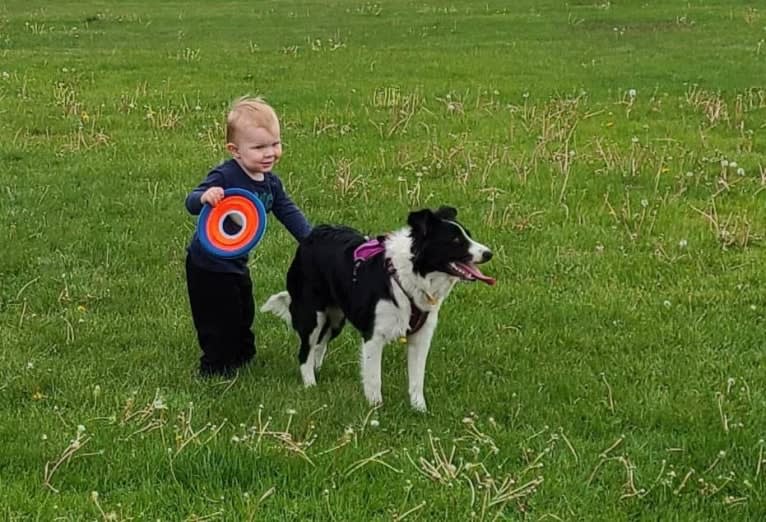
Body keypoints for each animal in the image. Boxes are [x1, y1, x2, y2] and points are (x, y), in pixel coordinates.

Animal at [260, 205, 496, 408]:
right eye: (455, 240)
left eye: (468, 235)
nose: (488, 253)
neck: (409, 277)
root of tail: (311, 235)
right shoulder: (374, 335)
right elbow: (374, 378)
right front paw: (375, 409)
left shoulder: (421, 336)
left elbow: (417, 379)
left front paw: (419, 409)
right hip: (312, 314)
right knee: (305, 352)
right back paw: (310, 385)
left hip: (336, 318)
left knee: (320, 344)